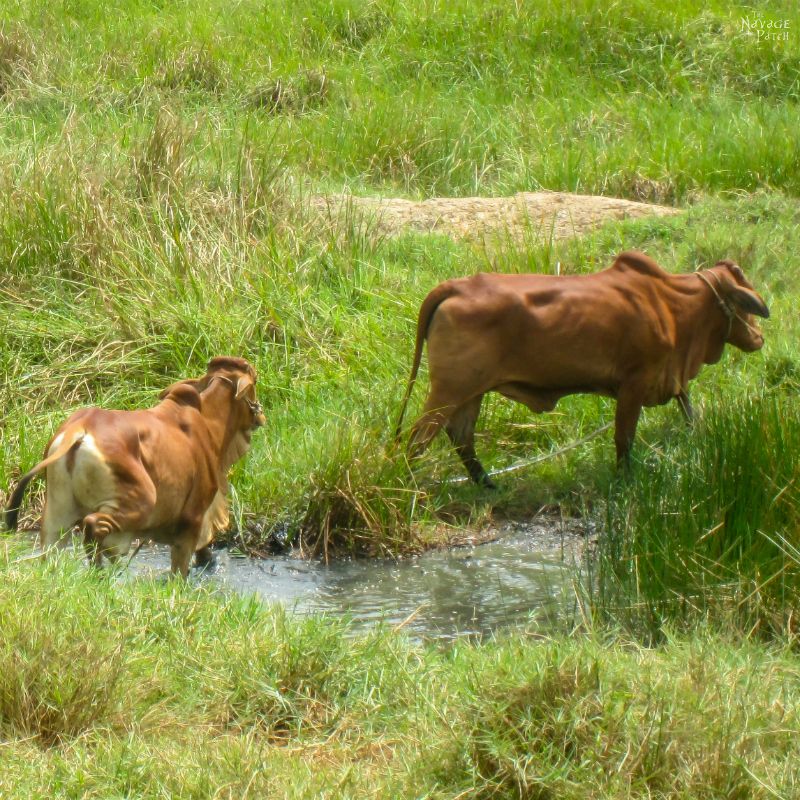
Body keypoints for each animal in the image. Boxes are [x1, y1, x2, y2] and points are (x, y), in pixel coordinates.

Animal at [4, 356, 268, 576]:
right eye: (255, 380)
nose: (261, 416)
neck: (209, 423)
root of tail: (79, 428)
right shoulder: (193, 518)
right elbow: (181, 568)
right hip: (139, 501)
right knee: (93, 526)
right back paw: (99, 574)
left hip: (57, 514)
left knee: (52, 551)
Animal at [394, 250, 768, 488]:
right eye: (744, 302)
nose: (759, 337)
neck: (670, 304)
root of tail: (456, 285)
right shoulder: (634, 382)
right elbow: (624, 438)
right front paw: (625, 481)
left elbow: (688, 413)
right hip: (449, 389)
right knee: (417, 439)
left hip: (472, 391)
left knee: (461, 437)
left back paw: (488, 485)